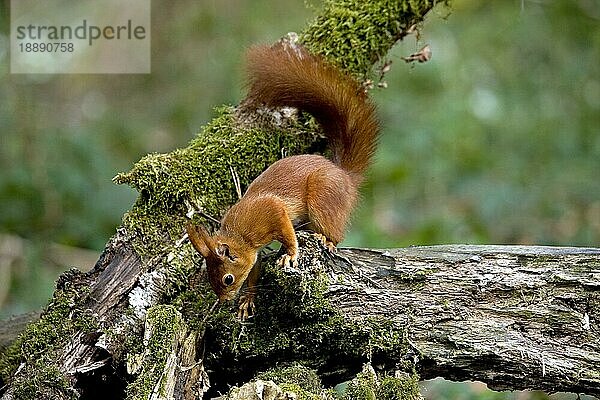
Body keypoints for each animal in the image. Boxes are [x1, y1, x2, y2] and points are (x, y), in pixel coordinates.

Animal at [186, 43, 380, 318]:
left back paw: (326, 239)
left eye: (227, 279)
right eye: (210, 280)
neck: (239, 234)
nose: (224, 301)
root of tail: (345, 175)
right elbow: (254, 270)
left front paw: (290, 253)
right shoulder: (253, 253)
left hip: (323, 195)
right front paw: (248, 299)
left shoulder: (271, 210)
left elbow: (287, 233)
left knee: (335, 232)